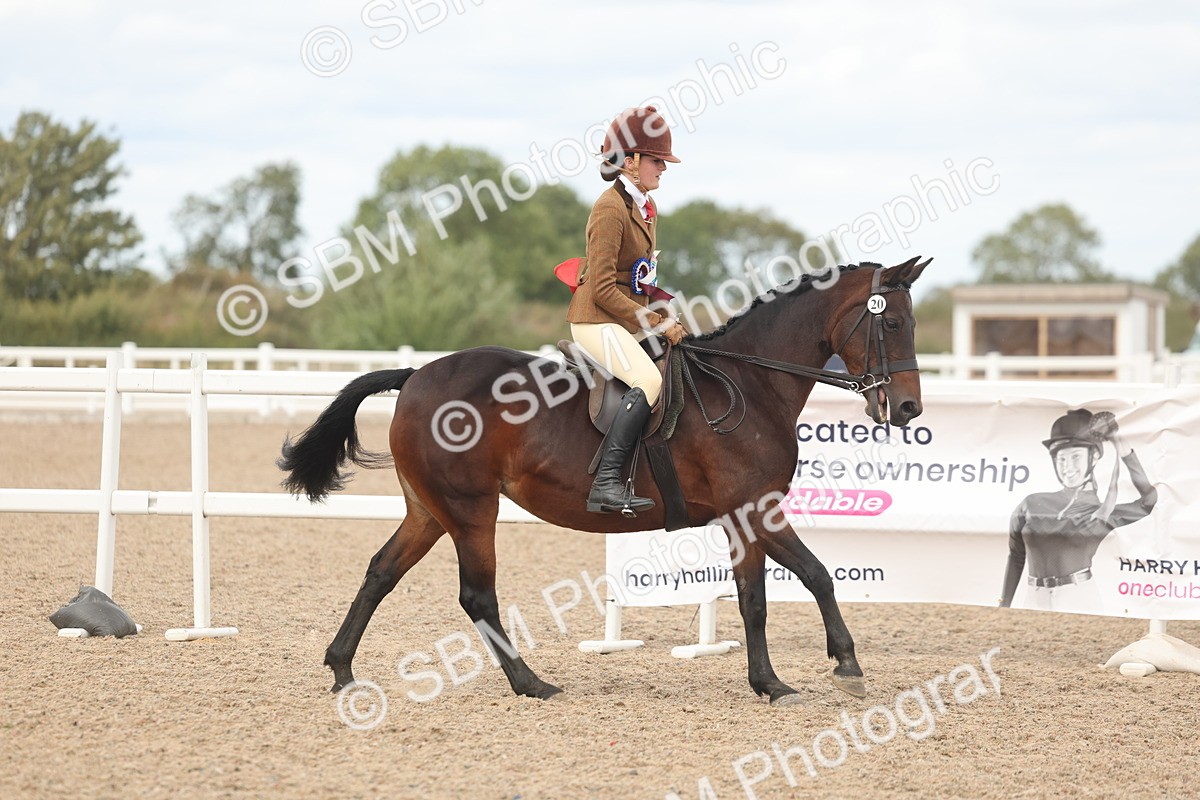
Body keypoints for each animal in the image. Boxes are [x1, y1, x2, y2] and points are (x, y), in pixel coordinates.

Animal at [278, 256, 930, 706]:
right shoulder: (755, 509)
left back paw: (342, 669)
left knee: (381, 573)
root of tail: (415, 375)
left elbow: (754, 599)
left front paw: (769, 682)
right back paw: (531, 683)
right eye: (894, 322)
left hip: (429, 510)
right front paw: (845, 667)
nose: (907, 409)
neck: (750, 384)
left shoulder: (744, 517)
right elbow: (815, 575)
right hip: (470, 510)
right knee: (476, 595)